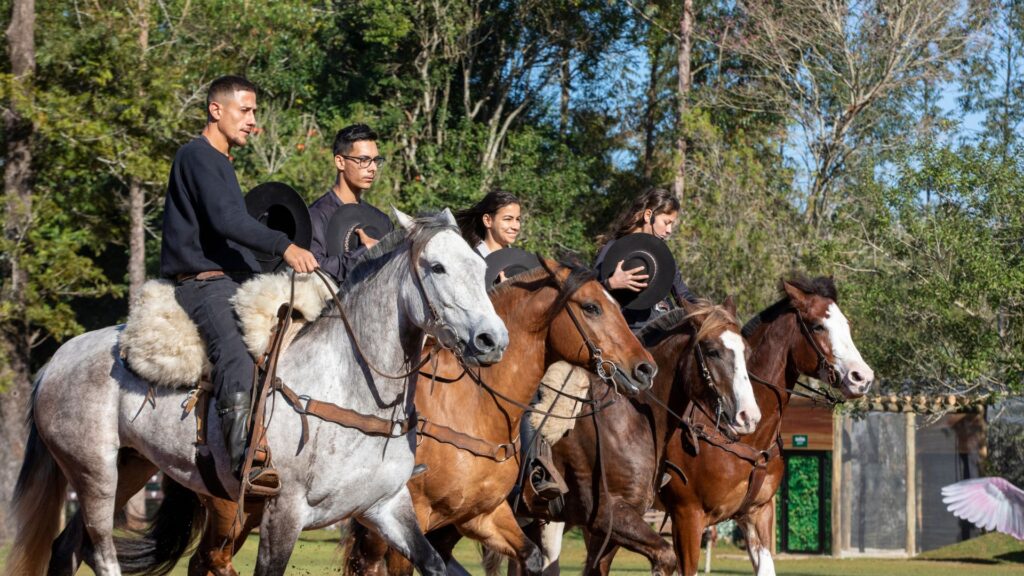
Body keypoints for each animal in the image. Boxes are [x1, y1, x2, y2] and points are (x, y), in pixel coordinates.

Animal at [3, 207, 507, 573]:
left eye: (479, 267)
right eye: (436, 267)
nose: (492, 340)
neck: (350, 386)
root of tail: (56, 361)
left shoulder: (387, 506)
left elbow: (434, 564)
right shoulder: (284, 513)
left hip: (129, 468)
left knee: (68, 548)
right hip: (94, 473)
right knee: (101, 552)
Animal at [491, 295, 765, 573]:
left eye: (746, 352)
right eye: (712, 351)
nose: (749, 417)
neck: (630, 420)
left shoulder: (611, 530)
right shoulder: (610, 515)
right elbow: (667, 556)